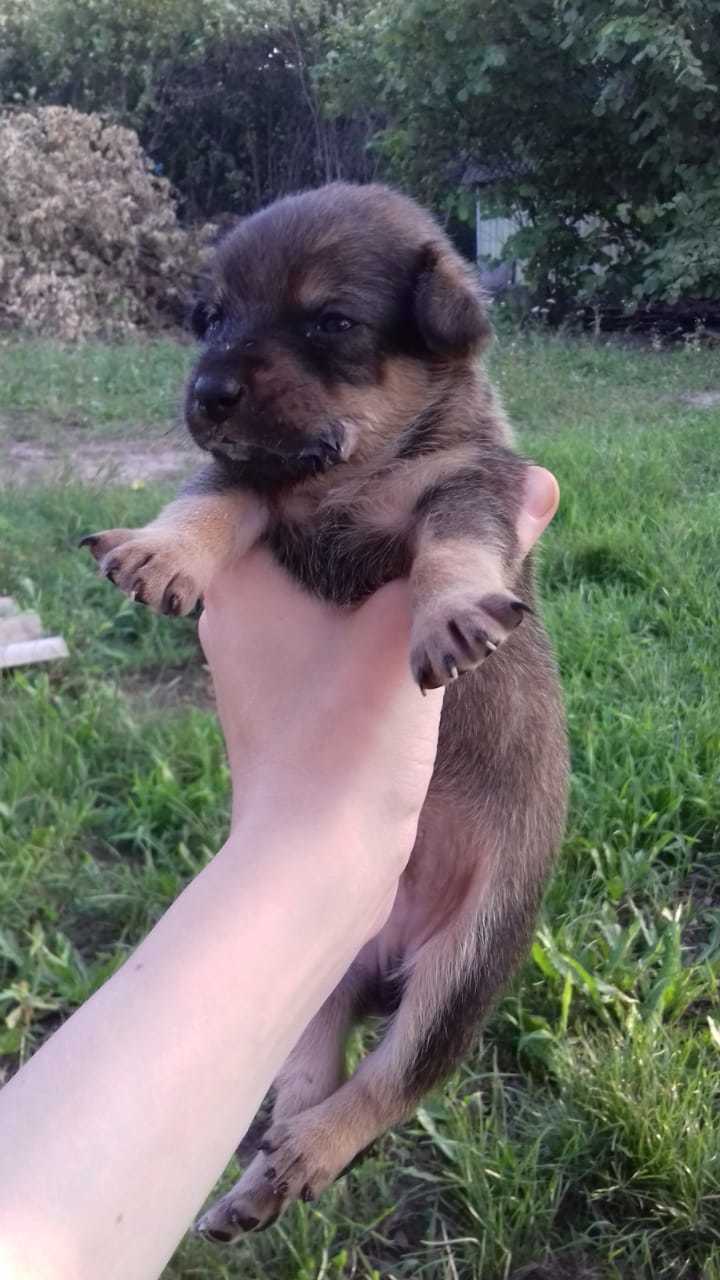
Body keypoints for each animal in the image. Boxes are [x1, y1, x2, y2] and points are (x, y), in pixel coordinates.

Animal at [81, 183, 568, 1239]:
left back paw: (305, 1154)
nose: (207, 394)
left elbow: (454, 546)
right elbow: (213, 493)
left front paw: (454, 611)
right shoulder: (257, 477)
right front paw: (160, 551)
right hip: (314, 982)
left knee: (388, 1083)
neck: (349, 474)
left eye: (332, 322)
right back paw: (257, 1184)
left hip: (465, 967)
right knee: (307, 1076)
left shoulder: (470, 486)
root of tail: (384, 958)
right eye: (210, 316)